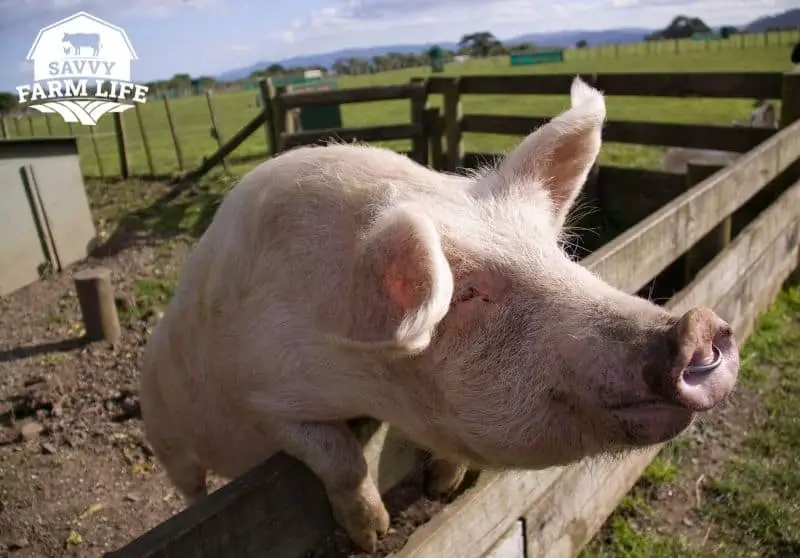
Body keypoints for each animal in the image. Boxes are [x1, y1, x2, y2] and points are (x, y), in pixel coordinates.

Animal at [140, 76, 739, 552]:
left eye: (553, 252)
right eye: (467, 292)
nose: (696, 327)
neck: (370, 388)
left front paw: (440, 490)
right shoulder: (261, 397)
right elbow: (340, 455)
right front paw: (374, 534)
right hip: (166, 435)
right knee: (190, 486)